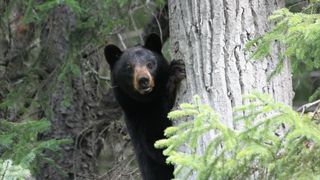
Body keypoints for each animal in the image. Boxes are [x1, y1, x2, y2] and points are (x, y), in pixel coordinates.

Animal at [105, 34, 185, 180]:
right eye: (129, 67)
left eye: (150, 64)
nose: (143, 80)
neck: (147, 101)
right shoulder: (138, 120)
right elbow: (158, 143)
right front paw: (174, 76)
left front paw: (177, 68)